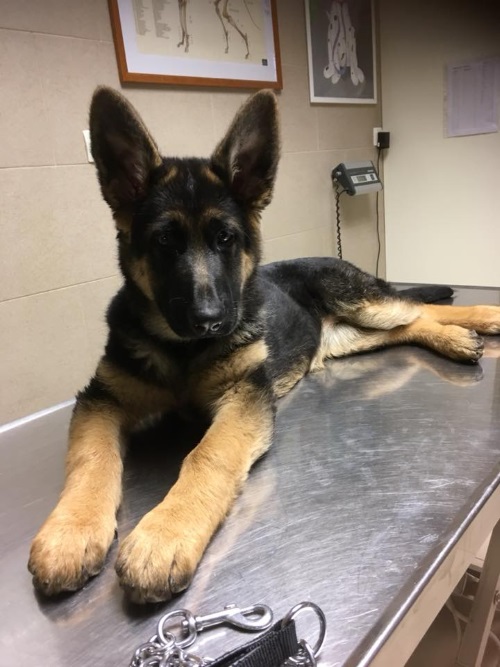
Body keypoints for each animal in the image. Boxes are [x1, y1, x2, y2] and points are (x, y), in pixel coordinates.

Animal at [28, 87, 500, 604]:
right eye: (164, 243)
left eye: (225, 239)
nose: (210, 321)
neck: (183, 353)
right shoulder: (101, 399)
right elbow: (91, 458)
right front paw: (71, 532)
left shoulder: (245, 396)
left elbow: (208, 454)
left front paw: (165, 535)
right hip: (349, 336)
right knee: (408, 325)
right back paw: (456, 339)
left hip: (362, 301)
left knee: (417, 308)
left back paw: (478, 321)